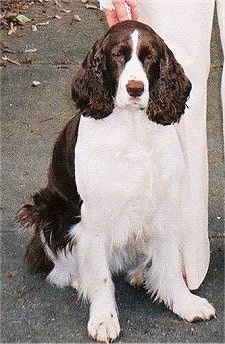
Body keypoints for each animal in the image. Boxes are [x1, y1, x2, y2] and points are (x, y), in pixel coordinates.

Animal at [17, 20, 214, 342]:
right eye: (118, 55)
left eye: (149, 57)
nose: (135, 89)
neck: (132, 130)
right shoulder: (94, 216)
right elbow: (101, 277)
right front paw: (103, 319)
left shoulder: (164, 205)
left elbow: (171, 267)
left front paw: (184, 303)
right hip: (48, 208)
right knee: (59, 262)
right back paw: (77, 279)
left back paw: (140, 272)